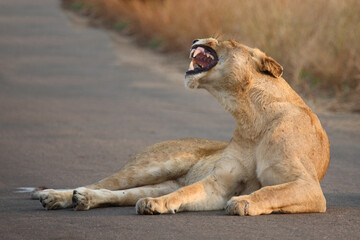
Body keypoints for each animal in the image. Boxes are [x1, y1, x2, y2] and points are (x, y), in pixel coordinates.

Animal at [35, 38, 330, 216]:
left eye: (228, 41)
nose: (195, 40)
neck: (250, 118)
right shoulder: (218, 184)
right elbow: (186, 191)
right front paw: (157, 206)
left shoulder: (309, 186)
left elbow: (272, 190)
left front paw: (245, 201)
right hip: (152, 166)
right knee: (101, 183)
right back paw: (57, 195)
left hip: (157, 181)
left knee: (121, 194)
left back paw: (85, 200)